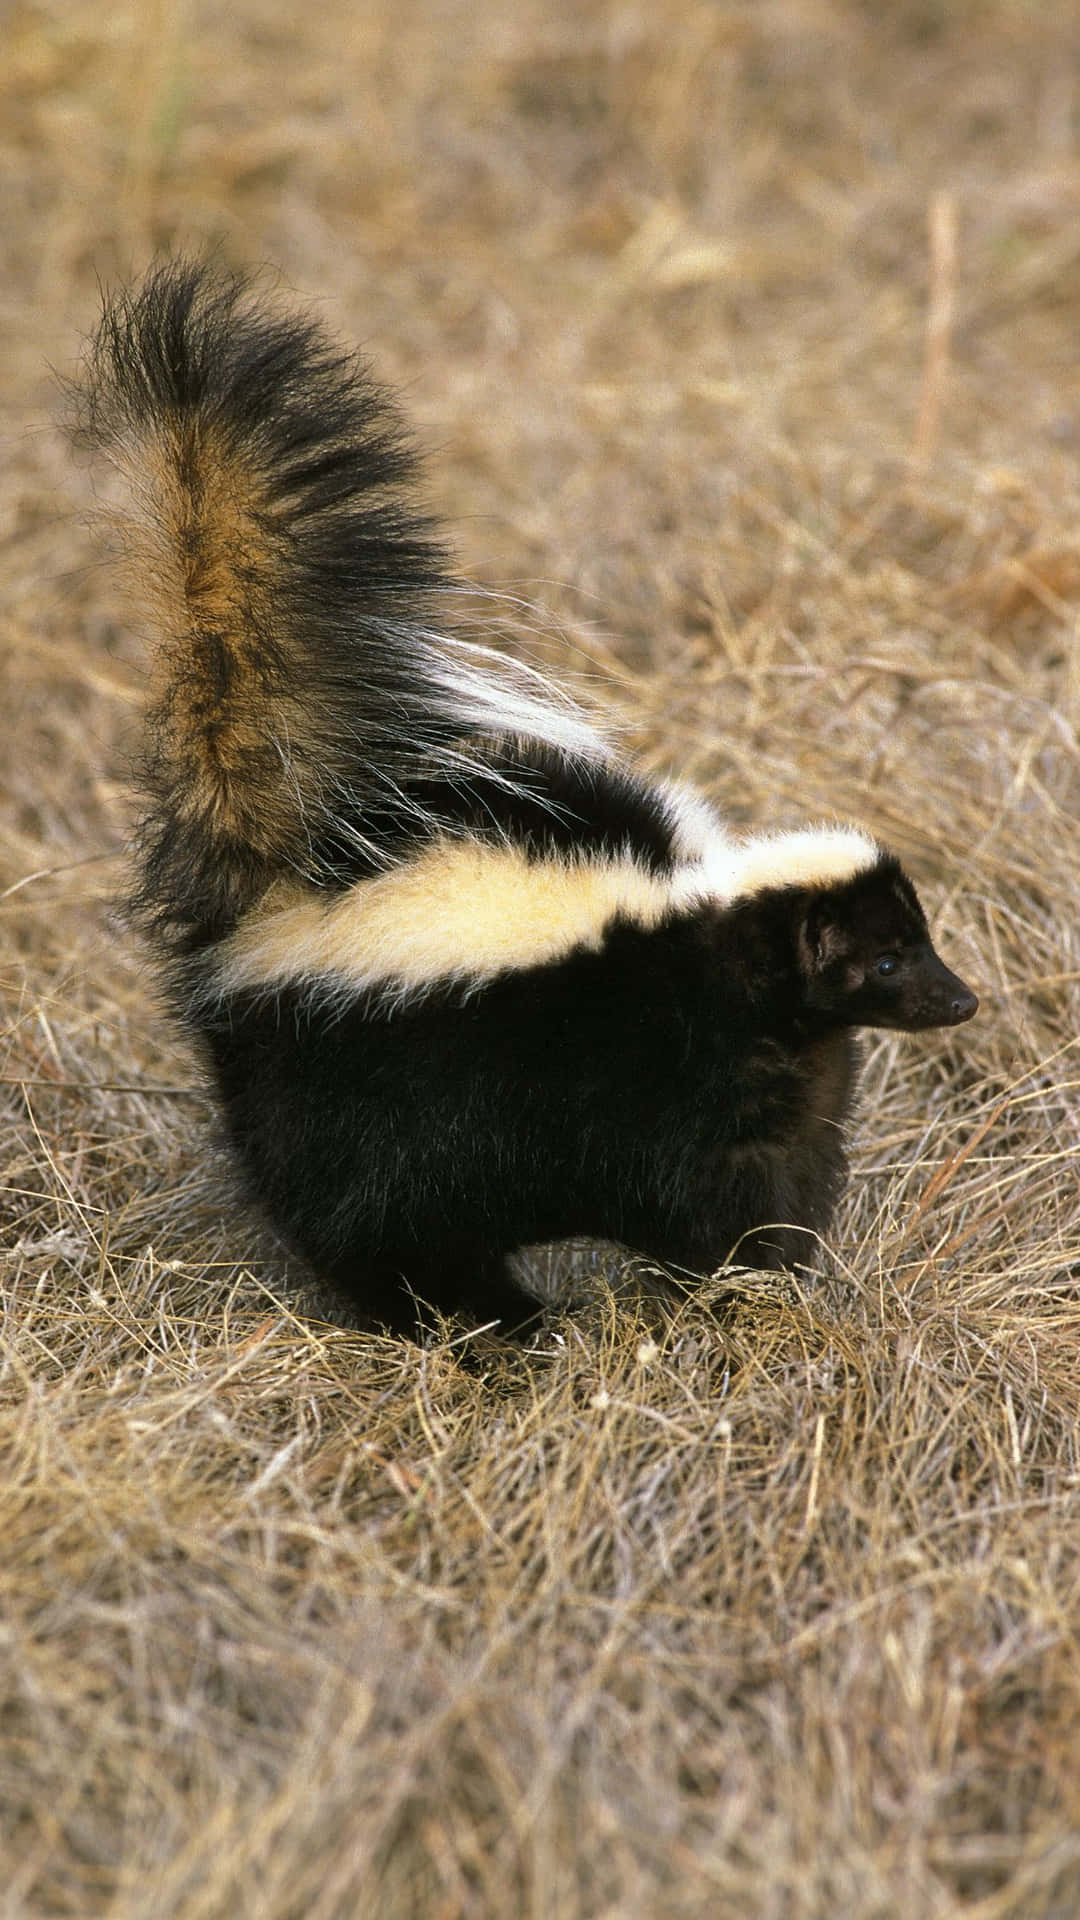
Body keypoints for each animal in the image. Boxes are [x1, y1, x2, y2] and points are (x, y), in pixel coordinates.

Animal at [71, 259, 972, 1336]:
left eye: (918, 942)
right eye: (884, 962)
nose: (961, 1000)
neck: (712, 927)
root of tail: (282, 871)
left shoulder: (793, 1069)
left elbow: (790, 1167)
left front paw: (792, 1282)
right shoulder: (665, 1071)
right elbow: (702, 1190)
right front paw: (740, 1291)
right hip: (351, 1094)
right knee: (371, 1221)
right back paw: (477, 1320)